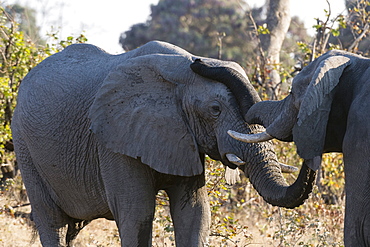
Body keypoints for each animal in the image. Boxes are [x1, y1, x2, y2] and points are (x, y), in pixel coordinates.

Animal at [10, 40, 312, 245]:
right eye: (215, 110)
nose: (201, 62)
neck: (176, 70)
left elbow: (195, 214)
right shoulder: (112, 139)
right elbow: (137, 215)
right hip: (24, 147)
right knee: (53, 222)